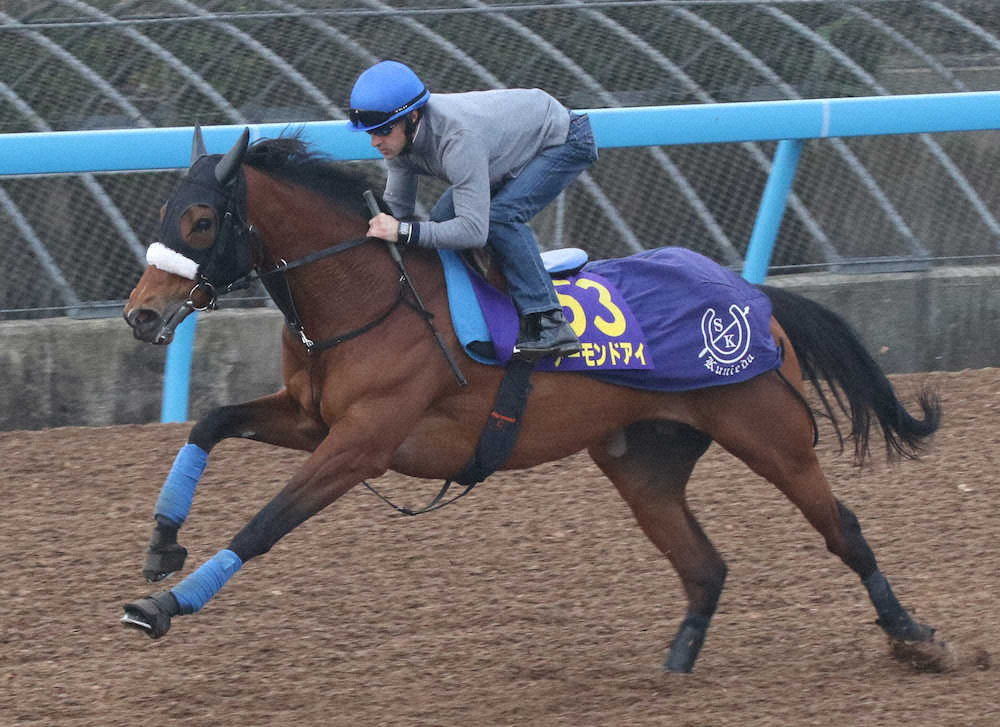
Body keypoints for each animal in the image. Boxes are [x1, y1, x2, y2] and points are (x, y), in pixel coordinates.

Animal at [120, 126, 957, 674]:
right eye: (163, 215)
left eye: (202, 220)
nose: (141, 313)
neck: (372, 293)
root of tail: (752, 293)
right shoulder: (310, 416)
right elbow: (210, 421)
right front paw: (162, 542)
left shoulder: (361, 442)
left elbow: (266, 522)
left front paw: (163, 607)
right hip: (644, 463)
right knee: (705, 565)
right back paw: (677, 664)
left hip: (770, 433)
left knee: (843, 529)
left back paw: (914, 634)